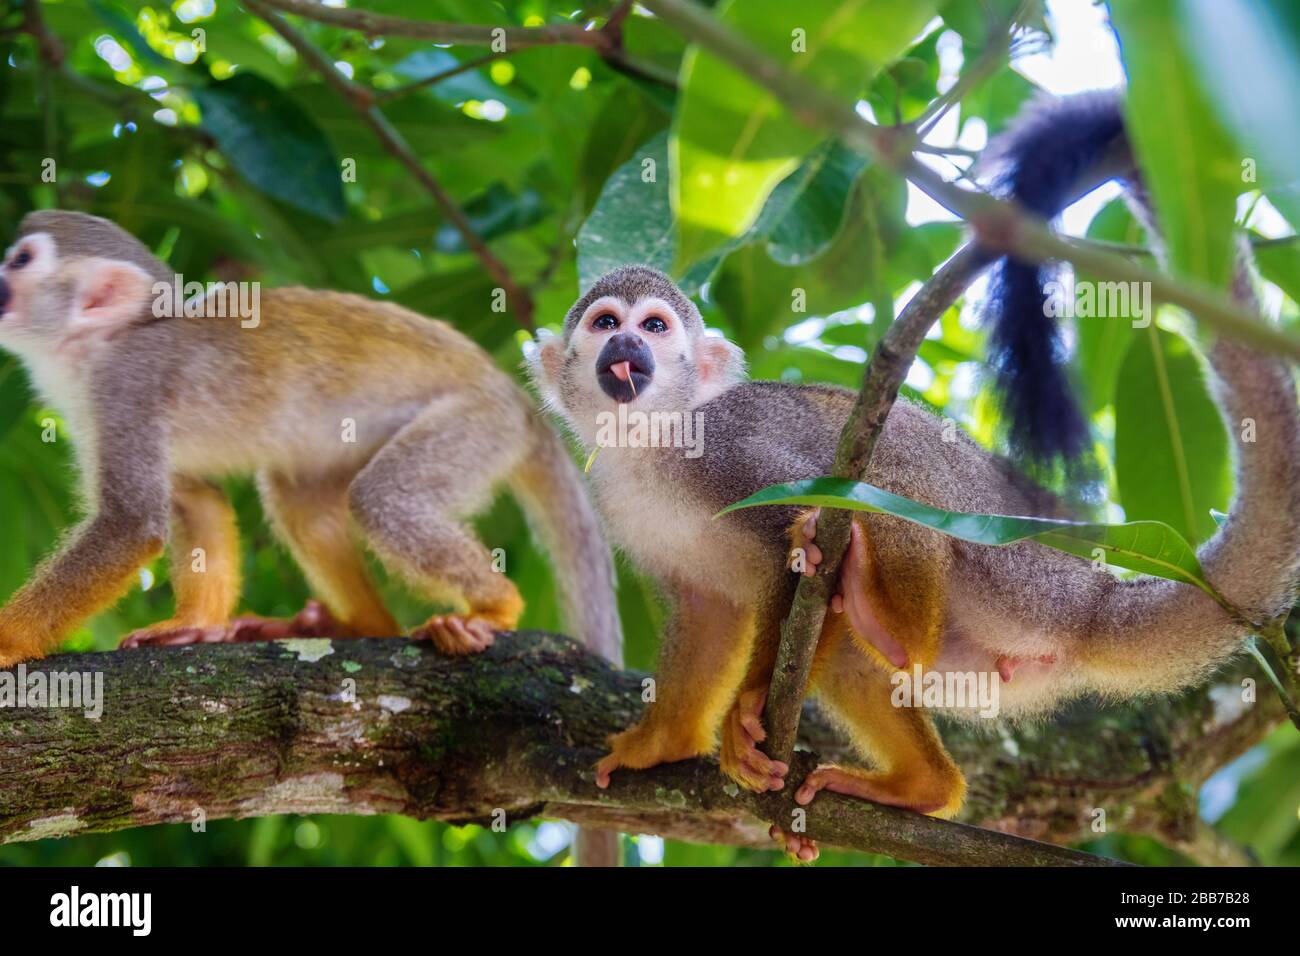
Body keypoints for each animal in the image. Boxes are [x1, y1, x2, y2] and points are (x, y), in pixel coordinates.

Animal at [528, 92, 1300, 861]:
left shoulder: (729, 446)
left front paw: (747, 720)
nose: (629, 347)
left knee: (876, 488)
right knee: (852, 648)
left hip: (1003, 568)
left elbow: (787, 541)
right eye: (606, 324)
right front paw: (662, 743)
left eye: (656, 328)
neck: (654, 440)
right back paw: (923, 785)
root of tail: (1086, 594)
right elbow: (706, 609)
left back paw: (886, 622)